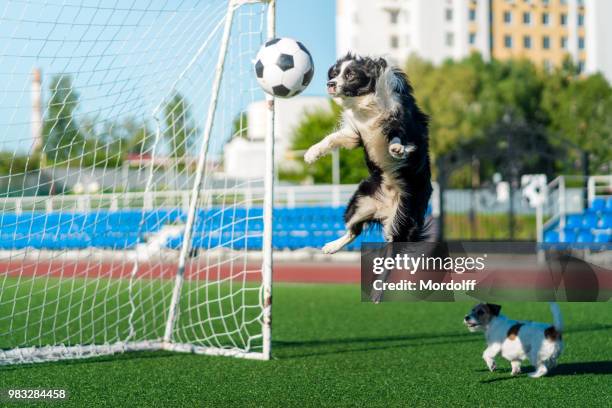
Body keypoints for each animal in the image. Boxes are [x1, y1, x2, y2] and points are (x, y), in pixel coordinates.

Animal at [304, 54, 430, 252]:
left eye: (350, 75)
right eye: (334, 73)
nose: (330, 84)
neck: (367, 102)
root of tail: (384, 210)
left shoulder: (400, 118)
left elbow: (398, 135)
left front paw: (397, 149)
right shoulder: (354, 133)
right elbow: (332, 138)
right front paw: (312, 153)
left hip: (403, 220)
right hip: (358, 203)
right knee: (354, 230)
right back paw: (331, 247)